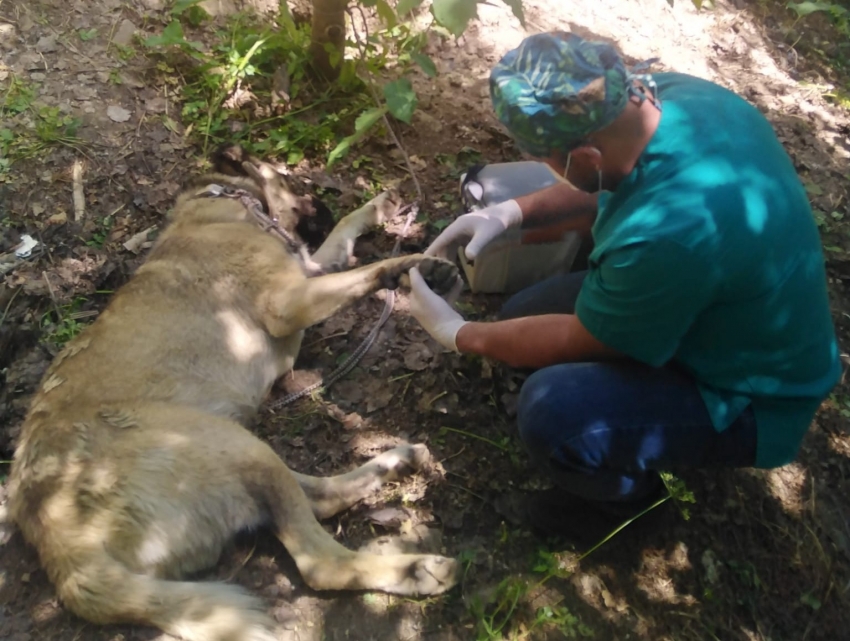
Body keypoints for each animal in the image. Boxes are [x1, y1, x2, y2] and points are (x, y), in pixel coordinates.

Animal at [6, 146, 460, 640]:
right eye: (292, 179)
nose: (324, 204)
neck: (223, 198)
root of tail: (60, 545)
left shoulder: (310, 271)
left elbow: (347, 231)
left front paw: (380, 204)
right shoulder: (290, 301)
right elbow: (368, 268)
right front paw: (411, 264)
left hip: (238, 450)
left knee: (317, 498)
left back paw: (397, 462)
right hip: (223, 442)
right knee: (320, 561)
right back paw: (414, 570)